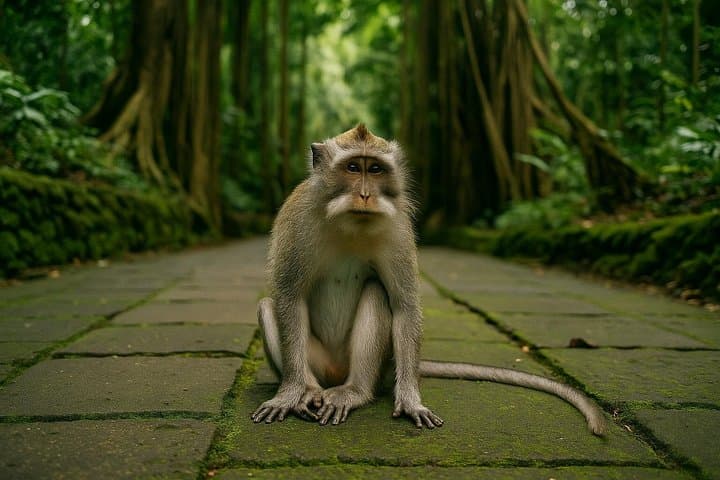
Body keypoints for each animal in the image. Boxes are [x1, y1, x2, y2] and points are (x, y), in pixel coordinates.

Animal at [251, 124, 605, 435]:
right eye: (352, 167)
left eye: (374, 169)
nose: (365, 194)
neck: (350, 224)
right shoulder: (297, 220)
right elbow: (289, 297)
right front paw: (289, 393)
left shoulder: (397, 230)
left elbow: (405, 306)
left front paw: (410, 401)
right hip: (320, 363)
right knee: (268, 306)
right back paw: (309, 391)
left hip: (377, 364)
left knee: (376, 292)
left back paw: (355, 392)